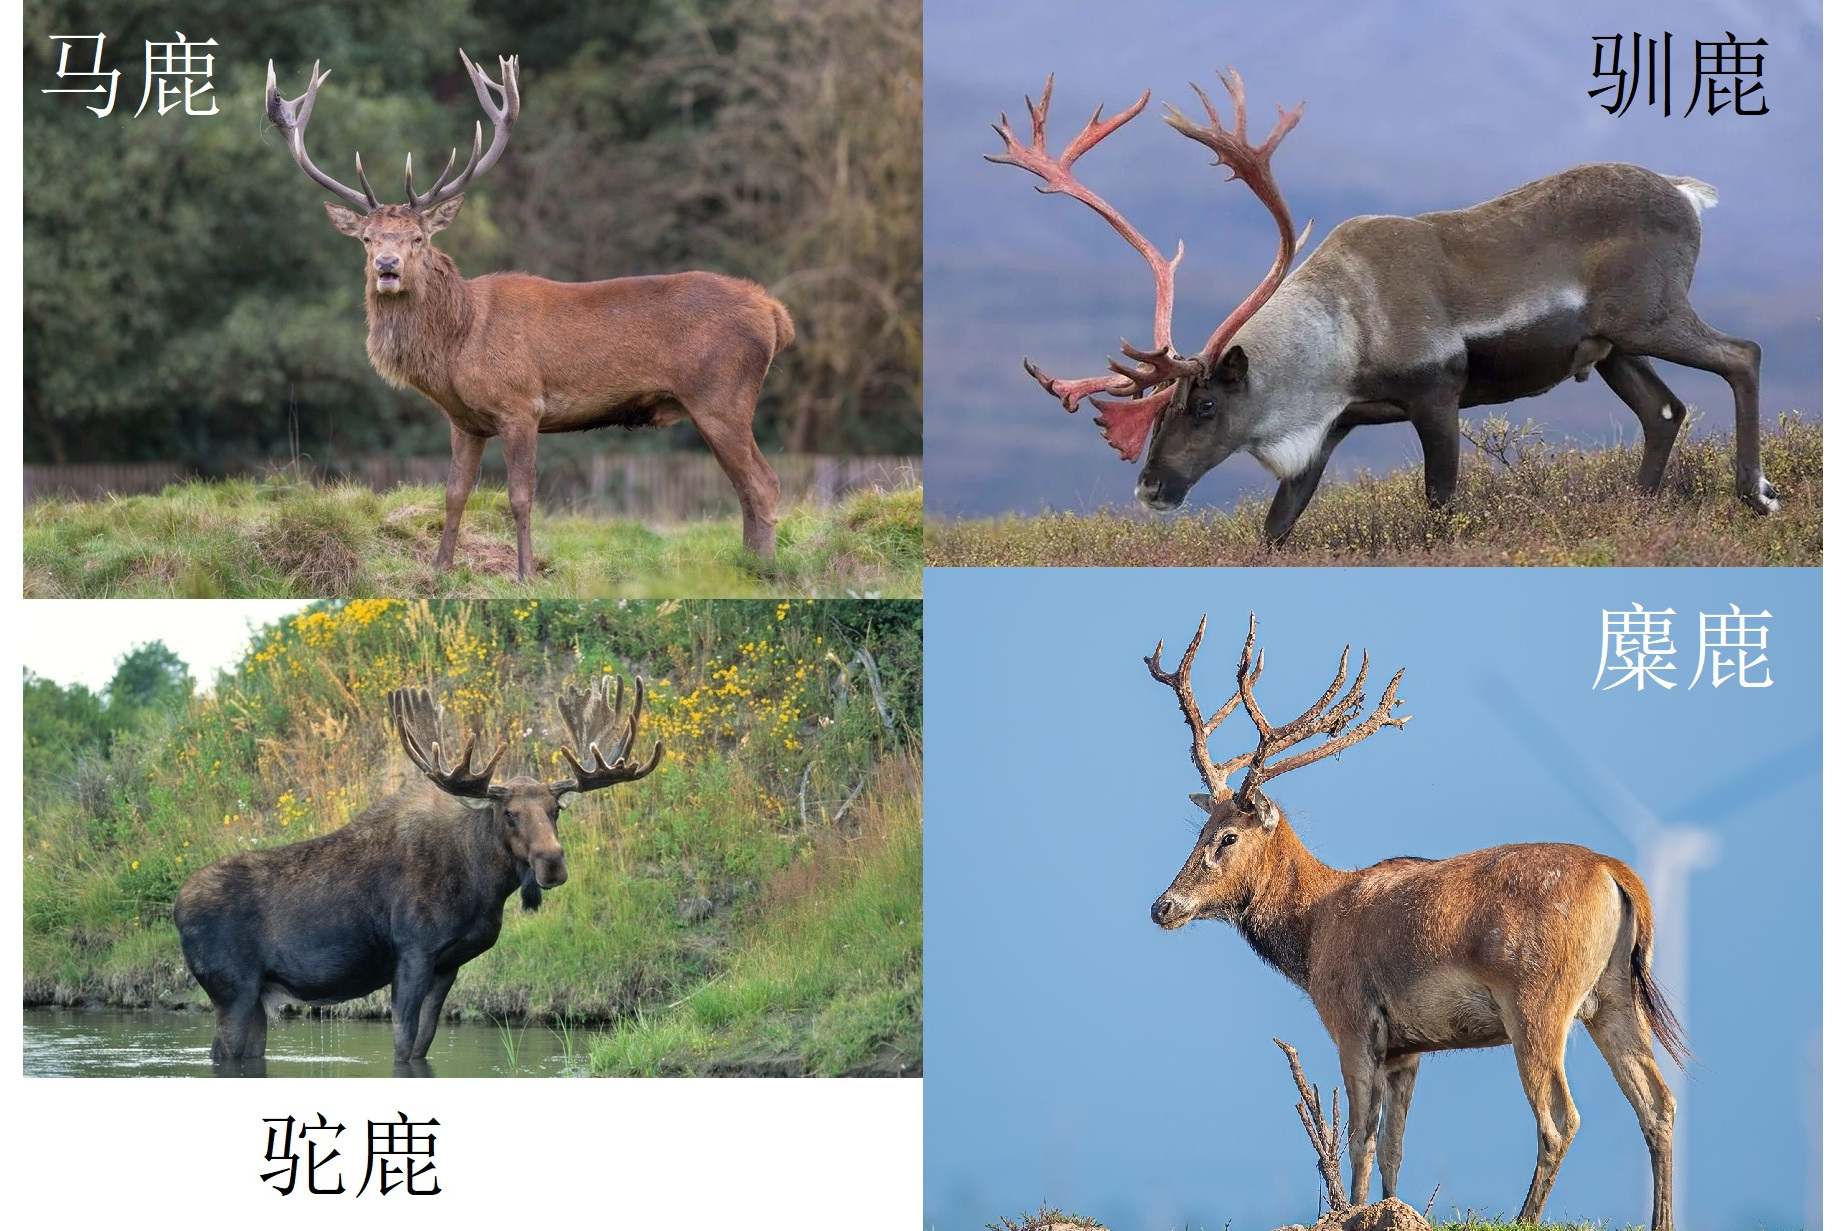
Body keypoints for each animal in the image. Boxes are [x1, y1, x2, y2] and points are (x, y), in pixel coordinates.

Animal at [173, 676, 662, 1067]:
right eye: (509, 814)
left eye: (555, 809)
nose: (552, 862)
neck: (482, 887)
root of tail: (176, 906)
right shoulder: (413, 952)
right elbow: (403, 1044)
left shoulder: (449, 964)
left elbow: (423, 1044)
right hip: (232, 989)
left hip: (255, 995)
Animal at [265, 51, 794, 581]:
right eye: (367, 238)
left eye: (419, 238)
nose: (387, 266)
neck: (458, 342)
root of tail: (774, 313)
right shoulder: (465, 420)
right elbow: (454, 493)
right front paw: (440, 569)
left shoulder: (520, 404)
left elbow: (520, 496)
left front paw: (524, 573)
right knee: (745, 487)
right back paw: (748, 569)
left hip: (721, 396)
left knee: (763, 482)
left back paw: (765, 573)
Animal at [989, 67, 1778, 543]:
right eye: (1158, 411)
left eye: (1206, 404)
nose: (1151, 487)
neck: (1340, 339)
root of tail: (1686, 193)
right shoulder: (1328, 432)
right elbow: (1276, 528)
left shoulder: (1437, 396)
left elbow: (1440, 501)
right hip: (1613, 347)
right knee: (1664, 411)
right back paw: (1637, 512)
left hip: (1651, 314)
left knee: (1742, 355)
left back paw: (1755, 492)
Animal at [1143, 614, 1684, 1231]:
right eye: (1199, 830)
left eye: (1227, 837)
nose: (1163, 906)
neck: (1313, 931)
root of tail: (1617, 874)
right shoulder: (1408, 1047)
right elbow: (1395, 1146)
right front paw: (1386, 1209)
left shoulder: (1353, 1020)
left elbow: (1360, 1138)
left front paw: (1353, 1212)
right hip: (1614, 995)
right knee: (1658, 1101)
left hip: (1538, 997)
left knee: (1560, 1117)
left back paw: (1525, 1217)